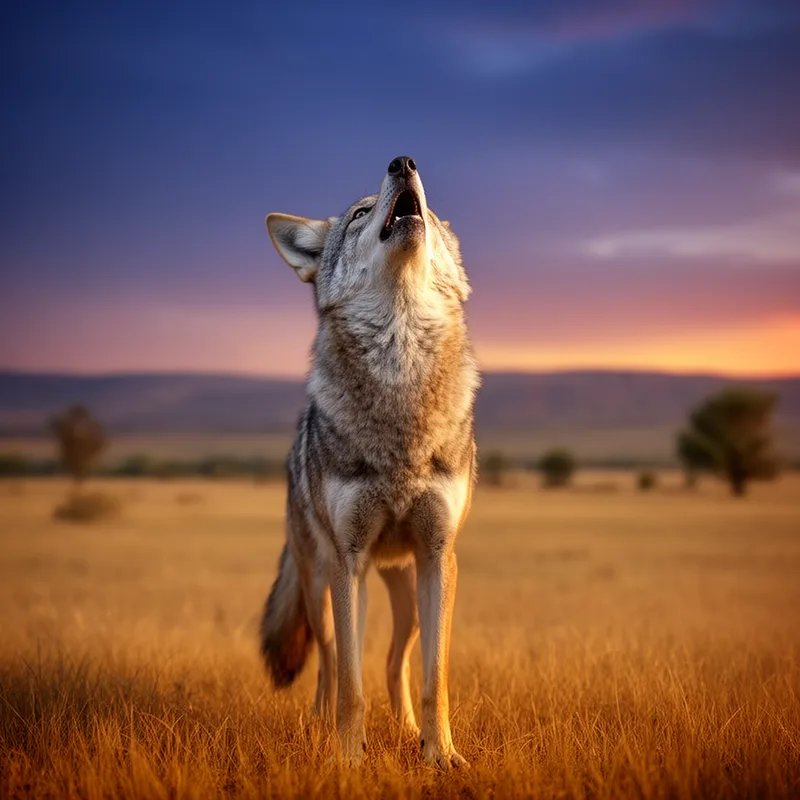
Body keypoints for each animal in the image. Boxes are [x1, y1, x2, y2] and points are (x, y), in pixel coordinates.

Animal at [261, 156, 479, 769]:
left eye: (429, 208)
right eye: (360, 213)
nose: (403, 162)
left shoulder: (439, 556)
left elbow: (435, 680)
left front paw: (440, 756)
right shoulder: (348, 560)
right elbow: (350, 685)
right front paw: (349, 760)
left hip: (407, 590)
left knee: (394, 662)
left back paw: (406, 730)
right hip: (322, 584)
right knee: (333, 665)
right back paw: (320, 728)